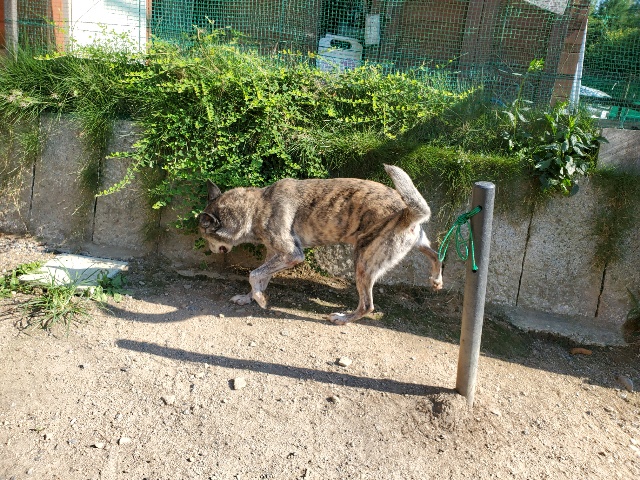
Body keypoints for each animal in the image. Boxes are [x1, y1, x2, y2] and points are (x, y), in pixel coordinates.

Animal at [198, 164, 443, 325]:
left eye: (206, 237)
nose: (210, 251)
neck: (256, 207)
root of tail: (406, 212)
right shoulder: (274, 255)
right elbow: (260, 278)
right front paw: (249, 297)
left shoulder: (292, 255)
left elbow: (253, 275)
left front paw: (260, 300)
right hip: (416, 243)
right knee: (436, 254)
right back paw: (436, 280)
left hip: (363, 263)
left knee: (367, 305)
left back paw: (343, 318)